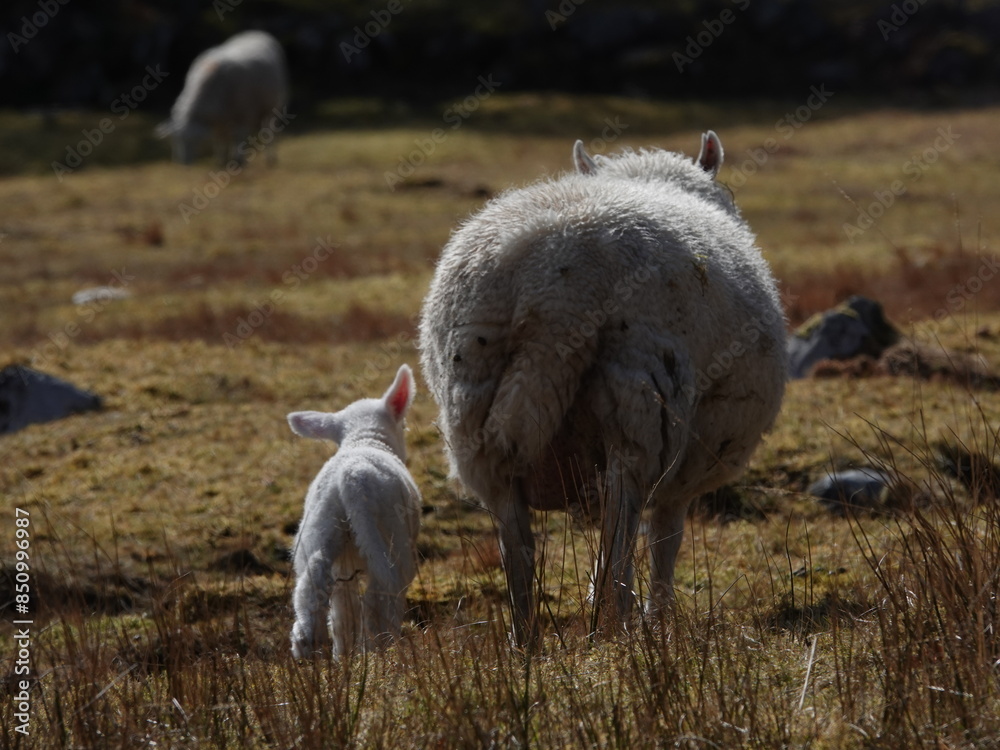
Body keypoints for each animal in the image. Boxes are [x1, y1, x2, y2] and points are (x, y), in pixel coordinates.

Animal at [155, 30, 290, 164]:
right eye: (175, 141)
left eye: (193, 140)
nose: (183, 162)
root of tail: (257, 32)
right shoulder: (218, 120)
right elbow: (220, 139)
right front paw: (221, 160)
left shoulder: (244, 114)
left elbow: (238, 137)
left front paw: (239, 160)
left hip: (274, 106)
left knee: (269, 131)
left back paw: (271, 158)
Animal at [288, 368, 420, 660]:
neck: (364, 437)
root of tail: (350, 476)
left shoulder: (344, 566)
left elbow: (343, 612)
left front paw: (344, 657)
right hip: (390, 541)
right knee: (380, 598)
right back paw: (382, 652)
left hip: (321, 530)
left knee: (314, 586)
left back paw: (308, 647)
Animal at [418, 131, 784, 648]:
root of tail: (556, 286)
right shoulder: (685, 473)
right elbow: (666, 540)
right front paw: (660, 619)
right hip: (641, 407)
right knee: (620, 539)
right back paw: (619, 629)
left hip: (472, 410)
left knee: (518, 549)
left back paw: (524, 642)